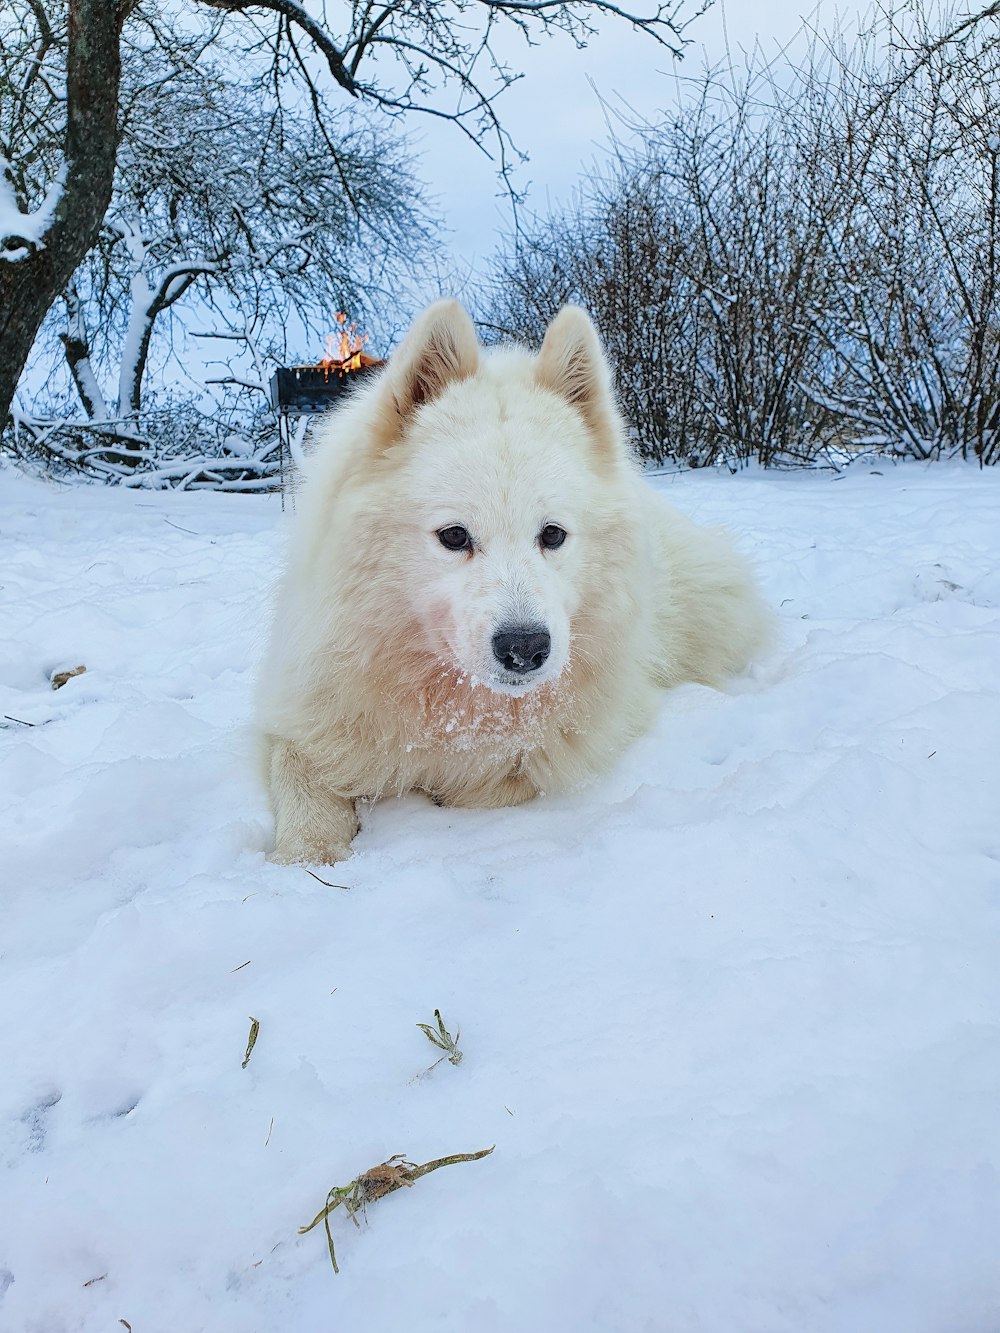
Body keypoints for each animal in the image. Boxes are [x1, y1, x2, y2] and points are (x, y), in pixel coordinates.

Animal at [254, 299, 773, 863]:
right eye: (454, 536)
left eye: (553, 534)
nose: (525, 648)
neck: (455, 704)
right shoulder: (303, 712)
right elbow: (301, 777)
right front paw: (308, 856)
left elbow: (486, 784)